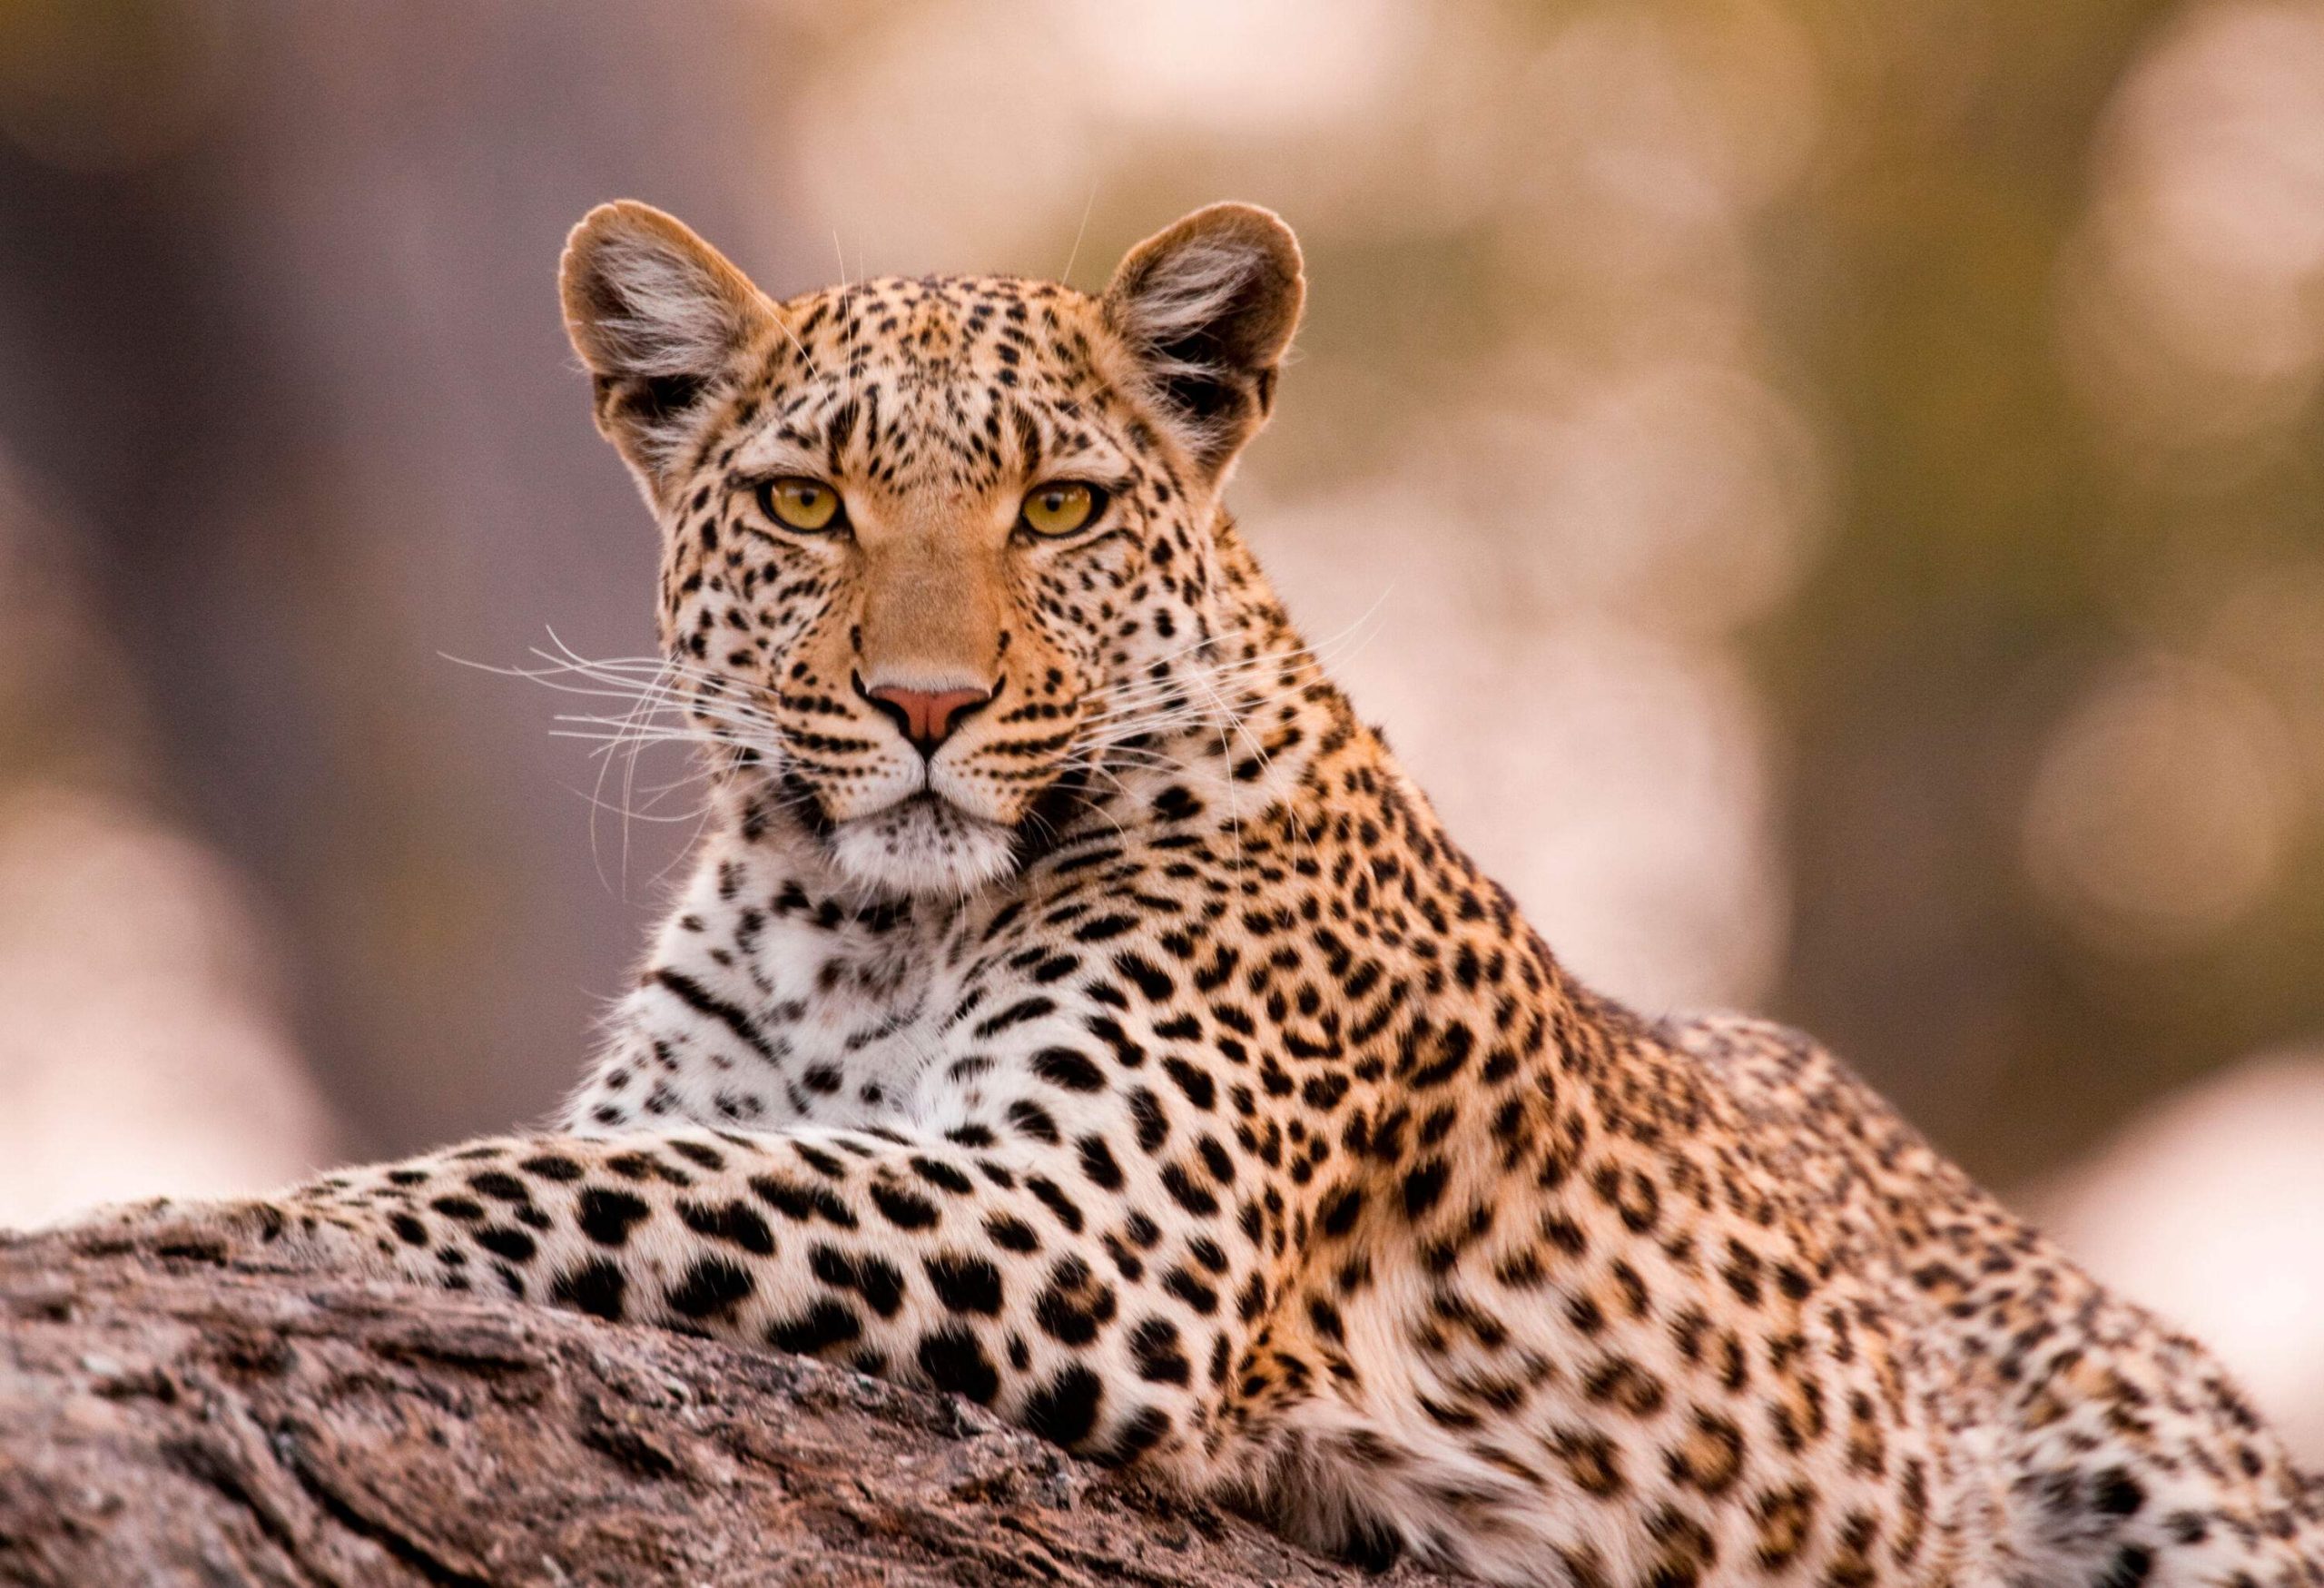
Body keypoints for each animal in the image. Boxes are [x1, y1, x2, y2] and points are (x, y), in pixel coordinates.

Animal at [73, 198, 2324, 1588]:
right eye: (803, 503)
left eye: (1058, 507)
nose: (919, 703)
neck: (857, 923)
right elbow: (633, 1150)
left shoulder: (1098, 1223)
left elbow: (591, 1183)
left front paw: (193, 1219)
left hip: (2176, 1469)